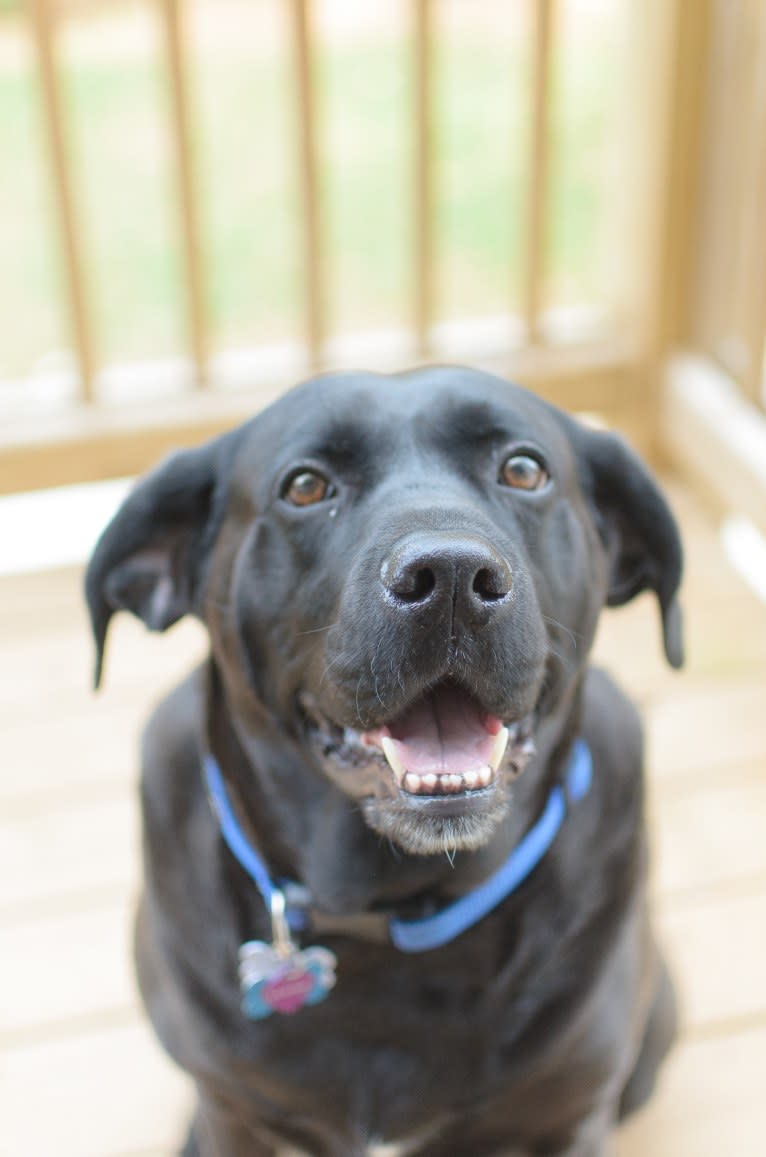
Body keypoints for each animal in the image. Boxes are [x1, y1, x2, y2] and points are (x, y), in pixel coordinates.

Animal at [85, 365, 685, 1152]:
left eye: (524, 470)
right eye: (306, 486)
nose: (453, 575)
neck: (389, 914)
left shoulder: (570, 1115)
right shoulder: (231, 1108)